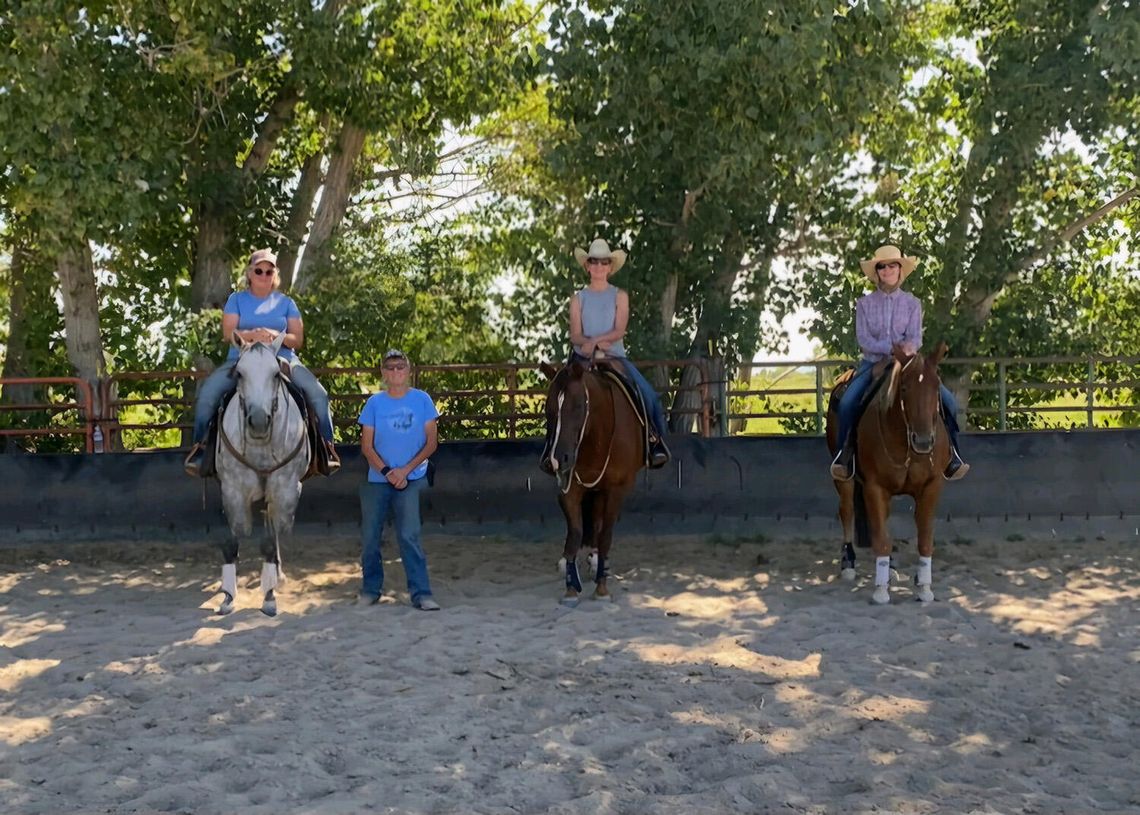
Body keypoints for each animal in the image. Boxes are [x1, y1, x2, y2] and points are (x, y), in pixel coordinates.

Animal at [214, 335, 310, 615]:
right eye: (239, 373)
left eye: (276, 374)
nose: (258, 421)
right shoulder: (232, 490)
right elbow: (232, 541)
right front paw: (227, 596)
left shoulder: (284, 489)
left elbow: (268, 541)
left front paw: (269, 596)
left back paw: (278, 576)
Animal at [538, 362, 647, 606]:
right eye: (549, 407)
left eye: (578, 406)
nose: (557, 459)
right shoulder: (569, 489)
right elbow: (575, 534)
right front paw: (571, 589)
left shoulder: (616, 490)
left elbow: (606, 535)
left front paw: (602, 588)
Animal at [829, 344, 953, 606]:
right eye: (904, 387)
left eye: (936, 385)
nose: (923, 441)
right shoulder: (874, 487)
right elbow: (881, 539)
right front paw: (880, 591)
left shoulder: (932, 486)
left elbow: (924, 539)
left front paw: (925, 587)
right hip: (843, 479)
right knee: (847, 510)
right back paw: (849, 563)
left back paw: (892, 570)